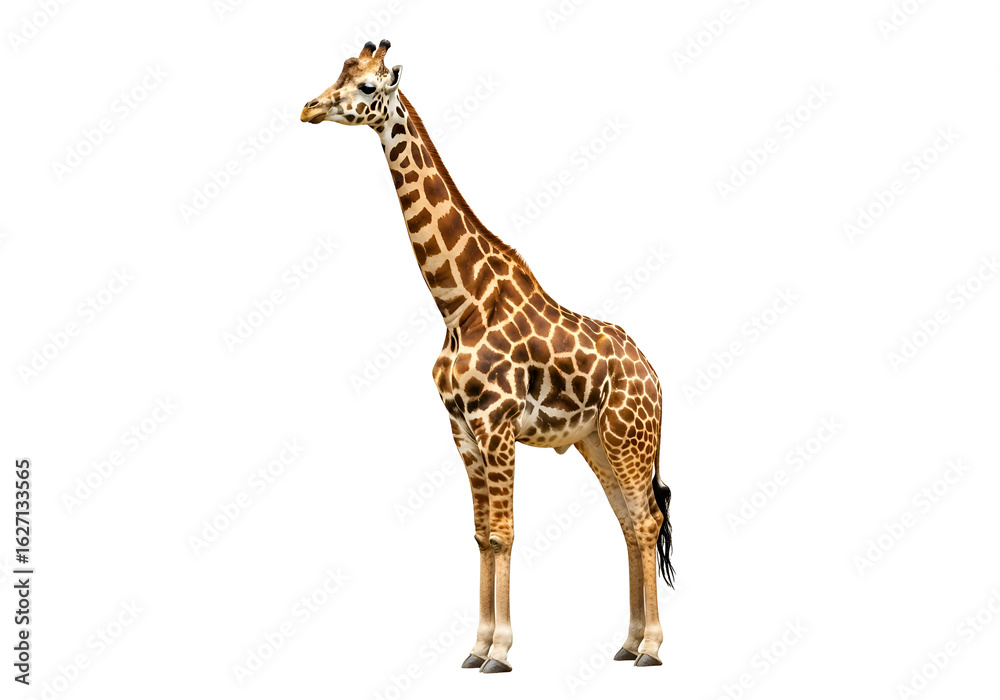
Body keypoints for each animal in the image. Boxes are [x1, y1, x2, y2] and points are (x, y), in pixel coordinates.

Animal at [301, 40, 674, 672]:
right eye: (338, 74)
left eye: (369, 86)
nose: (308, 108)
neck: (459, 304)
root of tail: (654, 376)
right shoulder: (461, 429)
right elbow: (480, 534)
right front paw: (475, 648)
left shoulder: (497, 425)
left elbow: (504, 532)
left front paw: (499, 651)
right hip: (597, 442)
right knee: (629, 522)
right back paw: (626, 643)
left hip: (629, 439)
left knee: (647, 520)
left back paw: (650, 647)